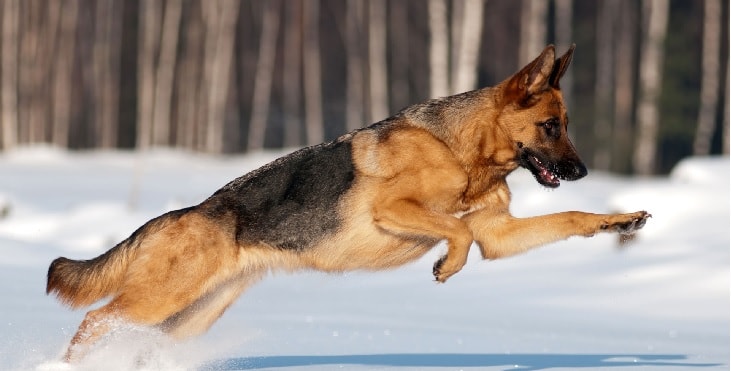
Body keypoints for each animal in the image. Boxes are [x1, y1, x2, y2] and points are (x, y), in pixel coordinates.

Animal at [47, 45, 652, 364]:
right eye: (551, 126)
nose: (582, 172)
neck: (464, 151)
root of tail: (178, 215)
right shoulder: (395, 209)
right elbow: (457, 232)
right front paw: (447, 266)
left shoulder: (499, 236)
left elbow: (568, 218)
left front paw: (620, 220)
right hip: (161, 300)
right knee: (95, 320)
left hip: (189, 316)